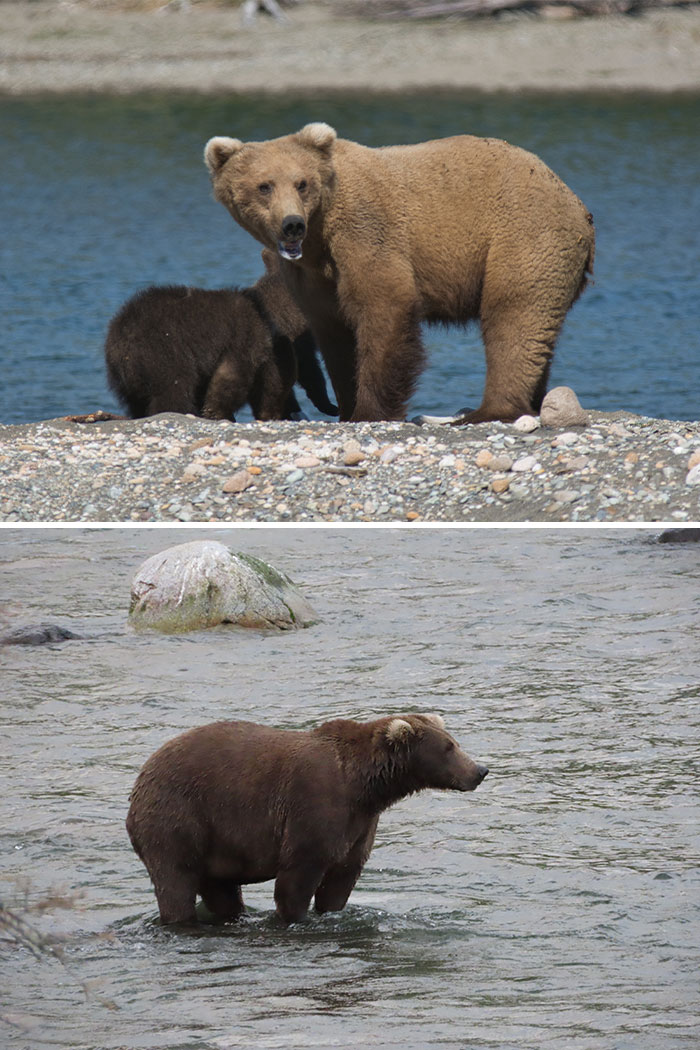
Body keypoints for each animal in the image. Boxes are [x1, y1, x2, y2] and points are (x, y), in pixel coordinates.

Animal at [104, 250, 337, 422]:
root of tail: (119, 337)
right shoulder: (247, 339)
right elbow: (234, 376)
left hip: (125, 377)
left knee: (137, 401)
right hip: (163, 353)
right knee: (174, 390)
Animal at [126, 713, 488, 926]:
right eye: (449, 747)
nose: (479, 770)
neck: (364, 786)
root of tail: (141, 777)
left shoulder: (358, 824)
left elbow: (342, 878)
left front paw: (331, 909)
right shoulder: (315, 806)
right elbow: (298, 875)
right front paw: (295, 916)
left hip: (215, 844)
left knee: (221, 890)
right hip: (178, 817)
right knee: (175, 880)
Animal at [204, 123, 595, 424]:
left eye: (301, 183)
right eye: (264, 185)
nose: (291, 224)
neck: (320, 234)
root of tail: (574, 199)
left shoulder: (365, 232)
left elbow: (384, 307)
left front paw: (369, 411)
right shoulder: (312, 275)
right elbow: (335, 333)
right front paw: (347, 405)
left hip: (523, 235)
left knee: (512, 315)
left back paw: (489, 410)